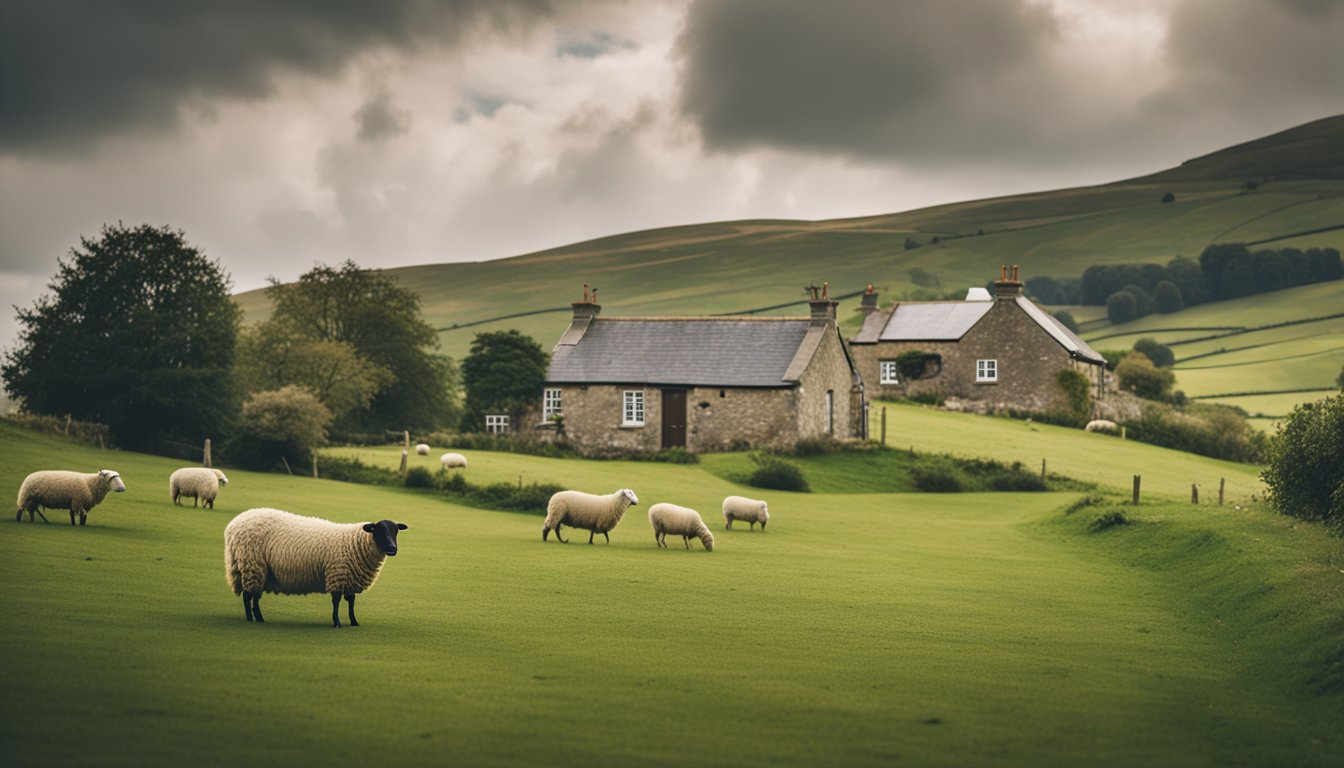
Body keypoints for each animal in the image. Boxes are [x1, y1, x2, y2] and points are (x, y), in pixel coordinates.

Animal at [224, 508, 408, 626]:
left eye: (395, 531)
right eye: (379, 531)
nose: (392, 549)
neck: (355, 543)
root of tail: (233, 524)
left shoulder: (349, 577)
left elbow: (351, 601)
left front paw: (354, 622)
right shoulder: (337, 575)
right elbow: (336, 601)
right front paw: (337, 622)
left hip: (260, 569)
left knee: (255, 595)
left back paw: (259, 618)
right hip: (252, 564)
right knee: (248, 596)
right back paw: (252, 619)